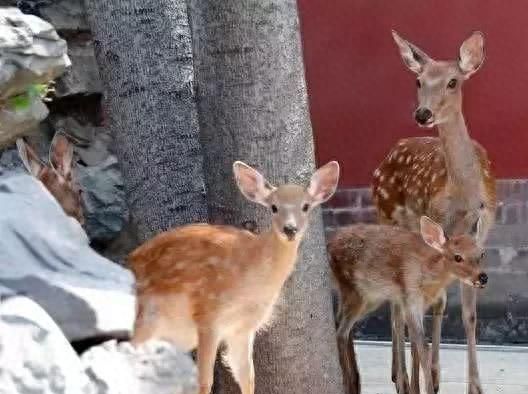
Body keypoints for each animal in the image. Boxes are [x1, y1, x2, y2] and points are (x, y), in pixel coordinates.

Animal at [130, 160, 340, 394]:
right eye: (273, 207)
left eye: (306, 206)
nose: (290, 229)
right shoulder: (207, 314)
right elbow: (204, 381)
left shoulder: (242, 328)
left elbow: (247, 377)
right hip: (144, 320)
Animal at [328, 215, 488, 394]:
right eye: (457, 257)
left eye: (482, 254)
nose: (482, 277)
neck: (428, 277)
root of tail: (329, 245)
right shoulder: (410, 300)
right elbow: (422, 346)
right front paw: (424, 389)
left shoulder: (419, 305)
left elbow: (414, 345)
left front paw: (414, 388)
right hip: (353, 291)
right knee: (341, 333)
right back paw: (348, 384)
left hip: (369, 297)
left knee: (341, 324)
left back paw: (356, 382)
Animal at [372, 31, 496, 394]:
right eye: (418, 80)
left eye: (453, 81)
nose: (423, 113)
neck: (466, 199)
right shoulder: (438, 226)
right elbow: (437, 302)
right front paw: (431, 377)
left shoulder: (480, 235)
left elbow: (468, 313)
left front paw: (474, 386)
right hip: (386, 215)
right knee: (396, 304)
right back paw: (403, 378)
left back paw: (404, 374)